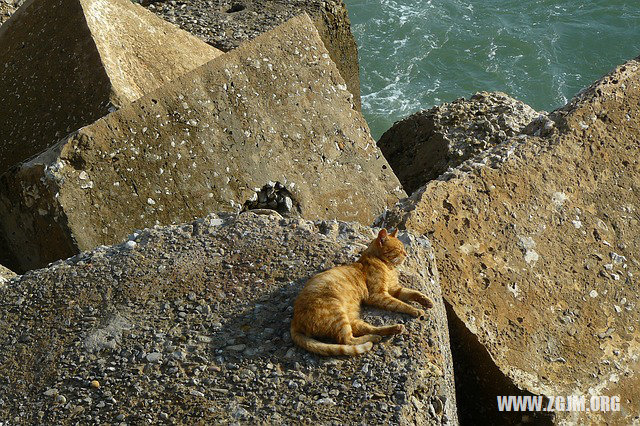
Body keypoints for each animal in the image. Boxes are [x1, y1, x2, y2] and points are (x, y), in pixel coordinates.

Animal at [292, 228, 436, 354]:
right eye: (398, 249)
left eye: (404, 248)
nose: (406, 254)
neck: (387, 266)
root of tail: (295, 322)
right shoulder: (378, 294)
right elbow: (400, 304)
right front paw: (415, 310)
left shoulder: (395, 289)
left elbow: (413, 293)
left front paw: (426, 301)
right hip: (337, 313)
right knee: (347, 340)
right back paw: (373, 338)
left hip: (351, 316)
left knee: (364, 328)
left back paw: (392, 329)